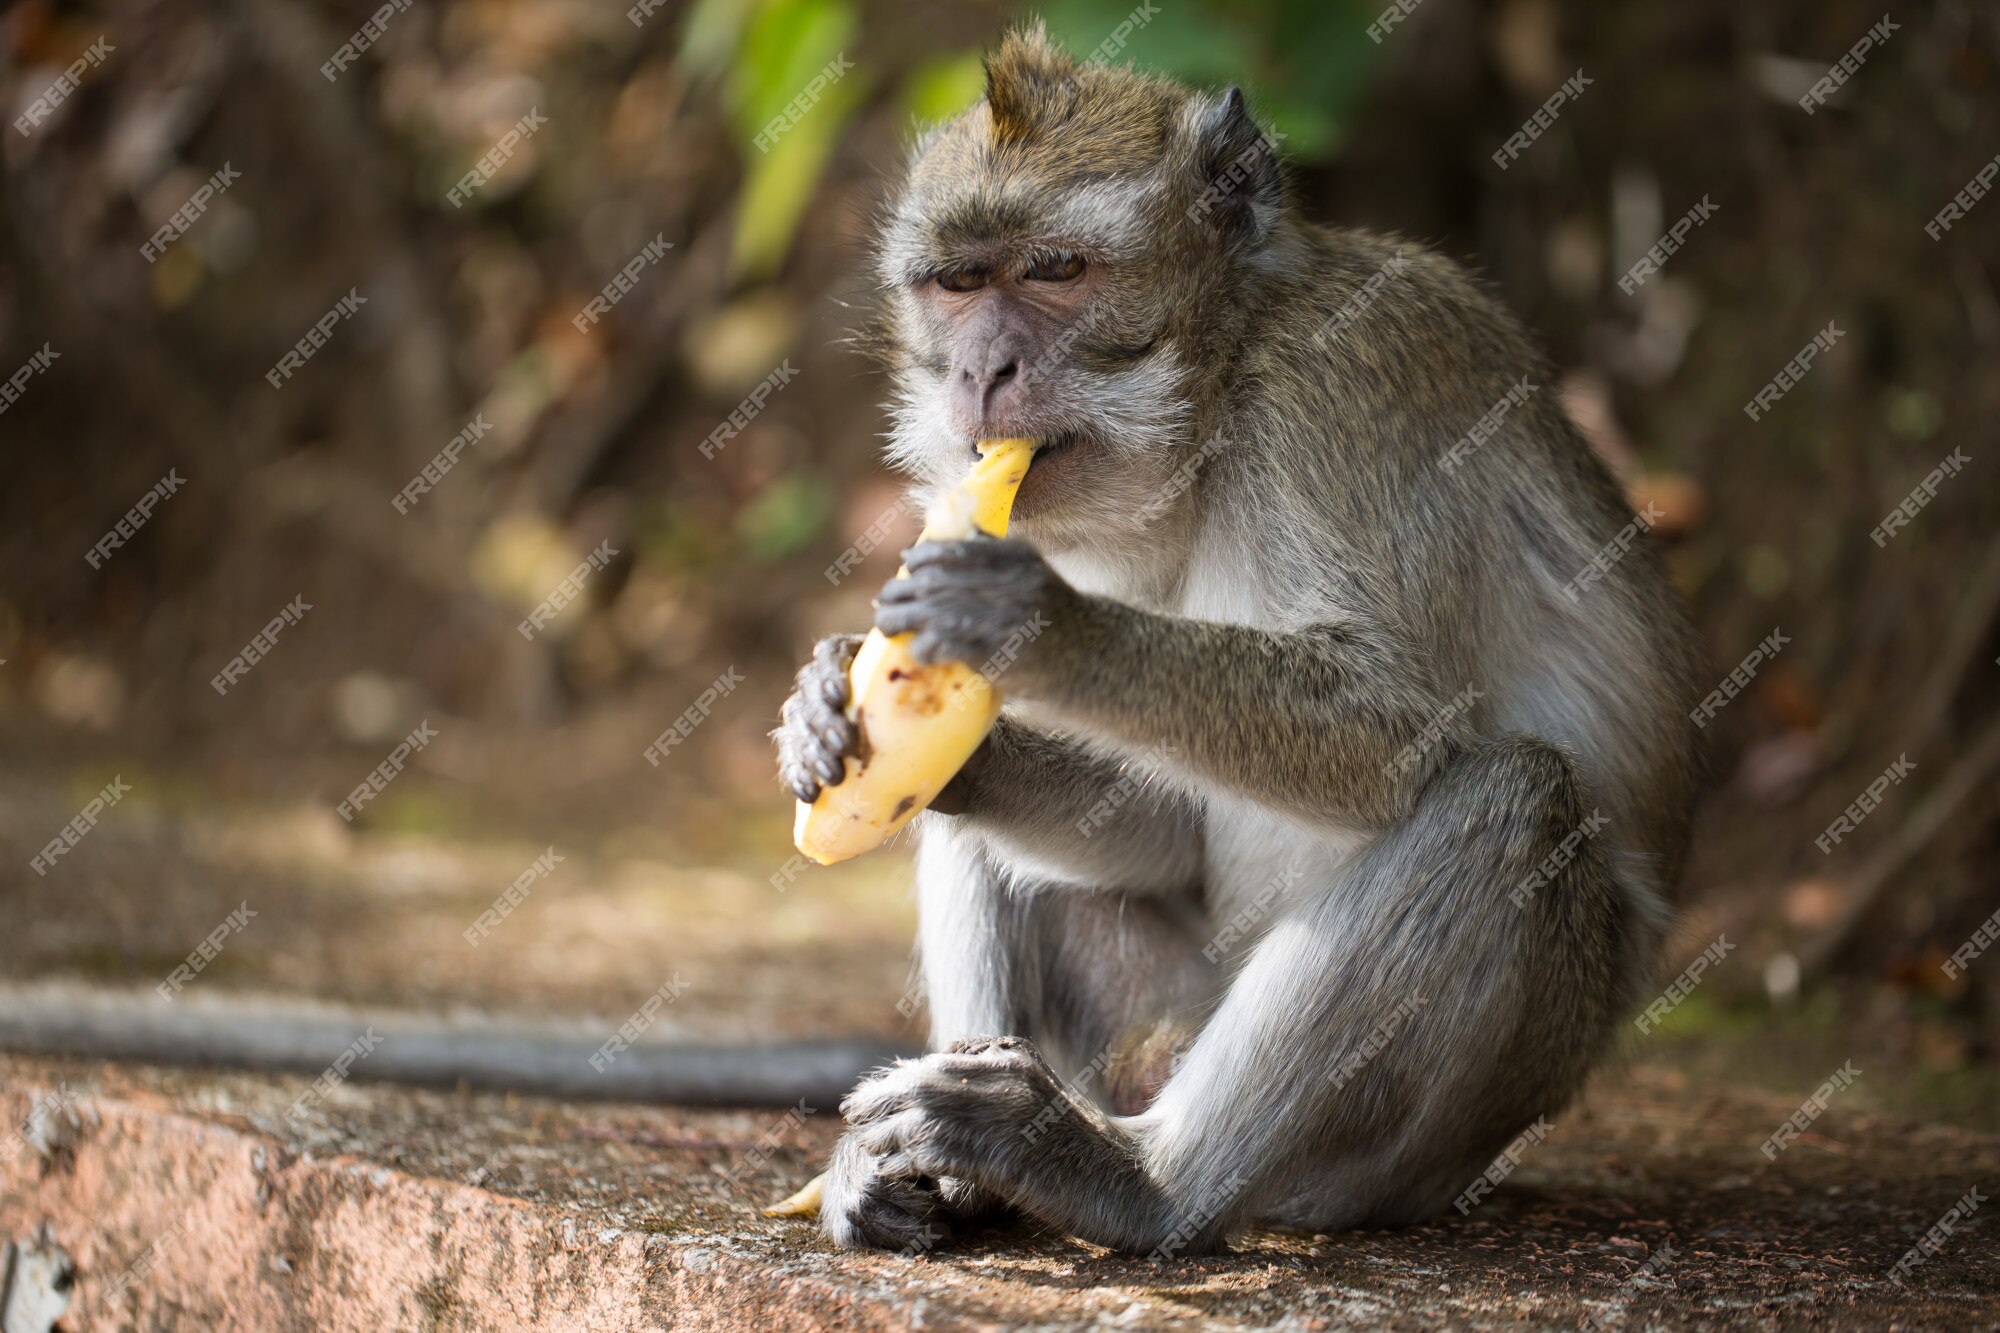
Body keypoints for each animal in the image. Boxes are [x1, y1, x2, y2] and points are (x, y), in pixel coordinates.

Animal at [772, 28, 1696, 1256]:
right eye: (958, 285)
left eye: (1055, 270)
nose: (980, 374)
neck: (1209, 406)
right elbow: (1162, 825)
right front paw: (844, 709)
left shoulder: (1335, 384)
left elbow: (1394, 732)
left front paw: (1035, 628)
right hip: (1156, 1011)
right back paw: (935, 1176)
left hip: (1423, 1144)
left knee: (1509, 802)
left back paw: (1138, 1180)